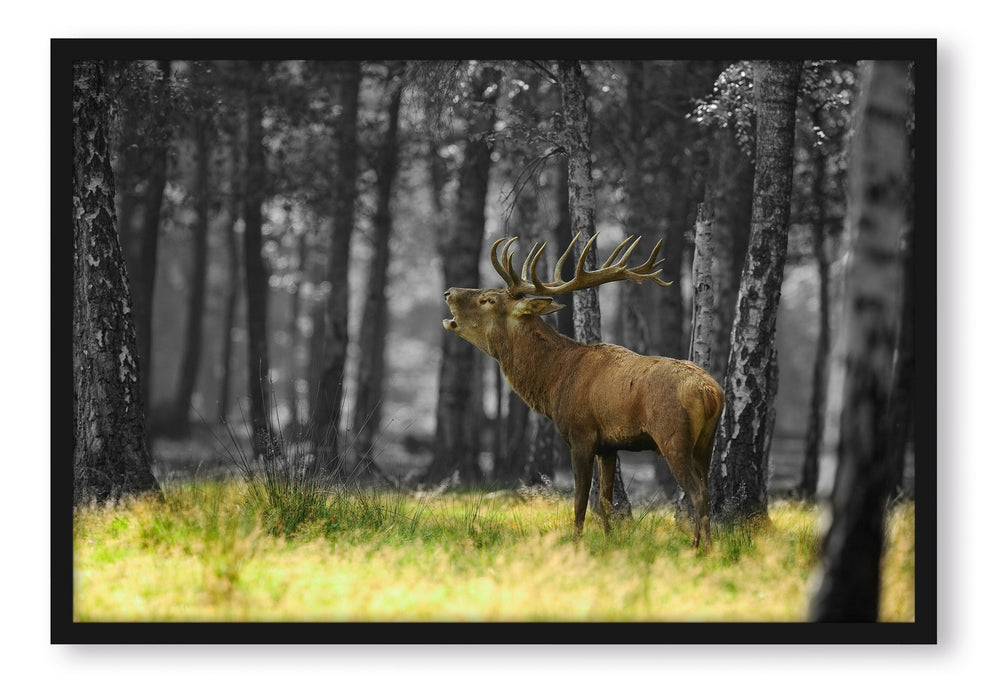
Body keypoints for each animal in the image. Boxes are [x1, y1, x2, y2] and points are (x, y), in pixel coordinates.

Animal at [442, 232, 724, 548]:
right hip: (707, 441)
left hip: (673, 436)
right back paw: (701, 544)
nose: (449, 292)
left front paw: (576, 544)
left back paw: (702, 548)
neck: (555, 381)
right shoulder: (610, 446)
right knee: (706, 489)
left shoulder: (580, 434)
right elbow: (605, 501)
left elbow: (579, 502)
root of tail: (711, 393)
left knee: (697, 492)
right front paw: (609, 541)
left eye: (488, 299)